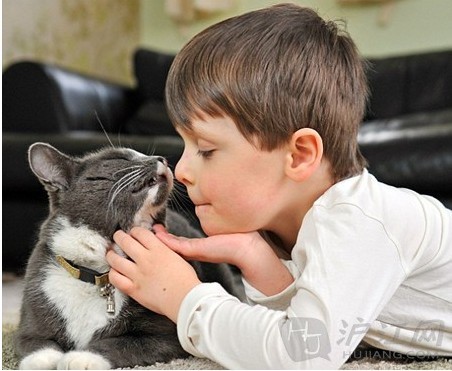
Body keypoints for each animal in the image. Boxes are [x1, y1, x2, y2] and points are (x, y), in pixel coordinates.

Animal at [14, 143, 242, 371]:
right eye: (119, 158)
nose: (161, 158)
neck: (96, 274)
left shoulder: (168, 337)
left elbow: (120, 343)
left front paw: (80, 358)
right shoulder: (30, 320)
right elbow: (37, 343)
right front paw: (46, 359)